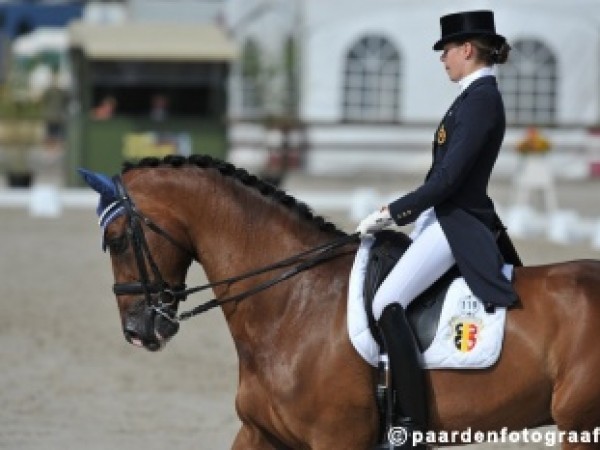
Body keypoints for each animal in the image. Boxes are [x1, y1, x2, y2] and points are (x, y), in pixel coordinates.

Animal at [82, 156, 600, 450]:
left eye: (117, 240)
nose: (138, 331)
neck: (292, 305)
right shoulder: (259, 432)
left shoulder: (337, 438)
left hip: (580, 427)